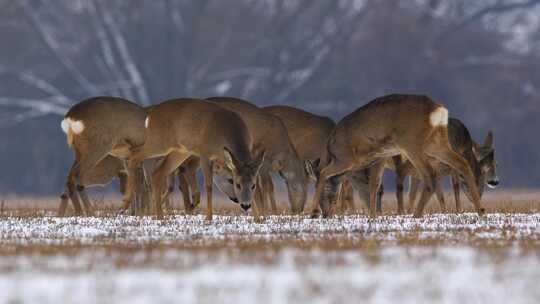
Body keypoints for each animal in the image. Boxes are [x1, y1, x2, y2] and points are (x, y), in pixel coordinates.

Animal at [122, 98, 266, 220]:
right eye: (237, 184)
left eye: (253, 185)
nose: (245, 205)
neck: (225, 134)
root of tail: (150, 116)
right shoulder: (205, 153)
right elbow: (208, 186)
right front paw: (208, 217)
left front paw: (257, 219)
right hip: (158, 142)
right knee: (133, 156)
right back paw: (126, 203)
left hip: (179, 151)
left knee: (157, 172)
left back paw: (159, 215)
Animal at [308, 94, 486, 217]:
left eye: (325, 196)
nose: (325, 214)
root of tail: (438, 110)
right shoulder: (377, 158)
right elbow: (374, 185)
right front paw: (372, 216)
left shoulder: (346, 158)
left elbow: (323, 173)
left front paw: (312, 212)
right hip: (435, 142)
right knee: (462, 163)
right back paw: (481, 210)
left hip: (412, 143)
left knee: (430, 174)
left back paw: (416, 215)